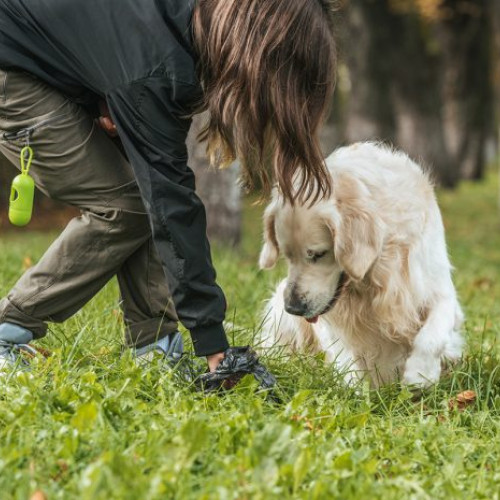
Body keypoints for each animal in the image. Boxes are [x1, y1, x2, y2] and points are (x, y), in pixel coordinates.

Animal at [260, 143, 462, 388]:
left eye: (318, 254)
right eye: (287, 256)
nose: (293, 308)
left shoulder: (438, 289)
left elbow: (432, 335)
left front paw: (419, 375)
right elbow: (345, 357)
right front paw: (354, 391)